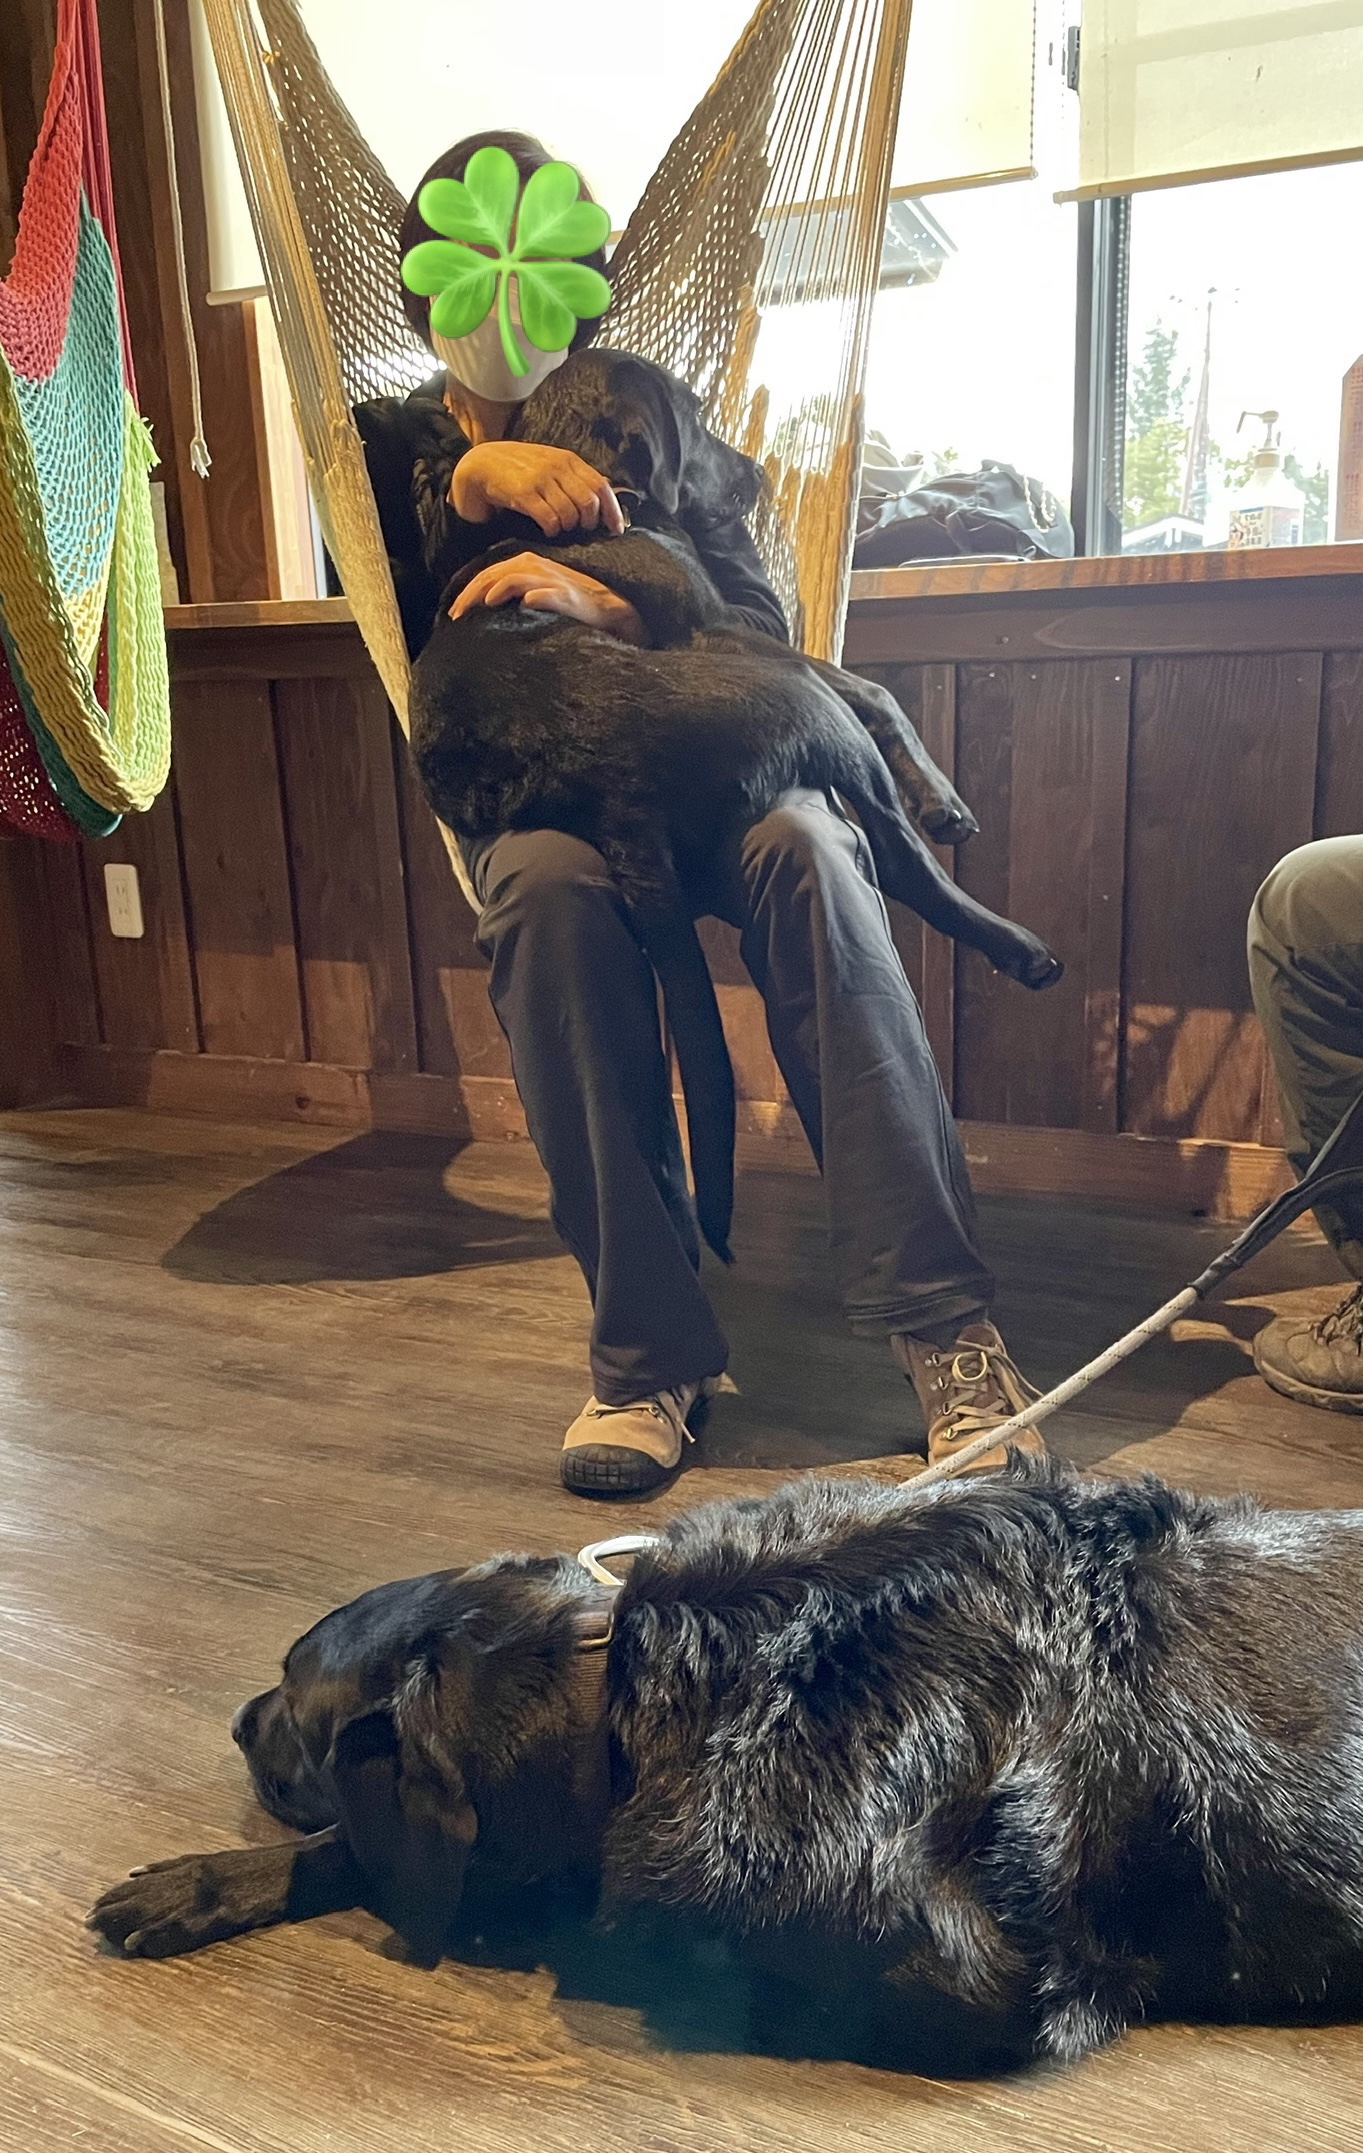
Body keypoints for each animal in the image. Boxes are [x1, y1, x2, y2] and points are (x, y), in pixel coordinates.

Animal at [89, 1462, 1362, 2073]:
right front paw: (204, 1881)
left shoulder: (977, 1977)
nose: (238, 1718)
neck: (635, 1689)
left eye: (295, 1708)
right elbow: (357, 1848)